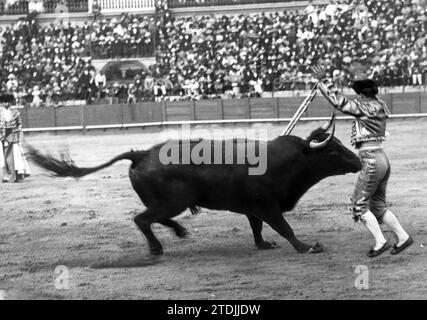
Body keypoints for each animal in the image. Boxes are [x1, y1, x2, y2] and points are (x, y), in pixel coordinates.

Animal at [27, 117, 362, 255]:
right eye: (333, 151)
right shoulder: (267, 206)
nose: (359, 162)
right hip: (170, 201)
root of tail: (141, 153)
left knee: (153, 218)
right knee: (142, 219)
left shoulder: (253, 208)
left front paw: (263, 245)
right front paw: (307, 247)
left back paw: (179, 231)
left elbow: (257, 229)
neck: (285, 161)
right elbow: (285, 228)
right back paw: (157, 247)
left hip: (166, 202)